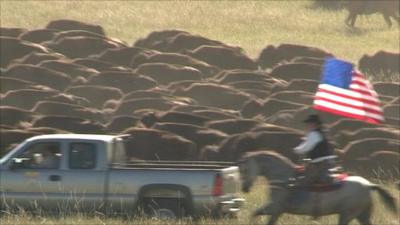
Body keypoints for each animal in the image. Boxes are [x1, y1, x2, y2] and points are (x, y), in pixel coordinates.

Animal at [238, 150, 396, 225]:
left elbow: (257, 214)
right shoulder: (275, 210)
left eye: (244, 169)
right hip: (362, 215)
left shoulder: (275, 209)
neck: (284, 179)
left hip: (347, 214)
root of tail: (368, 185)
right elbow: (255, 214)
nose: (245, 189)